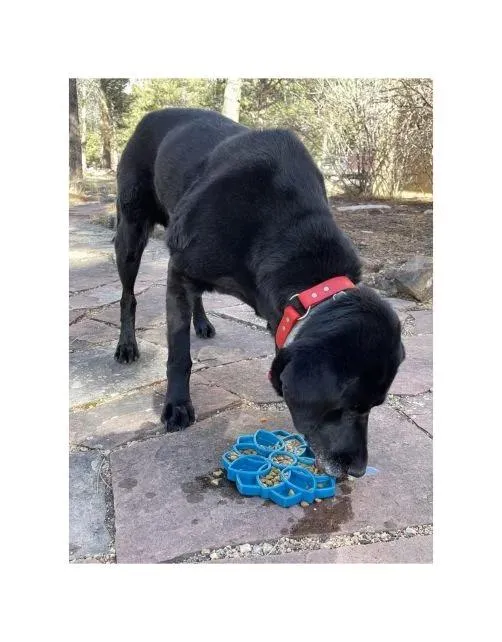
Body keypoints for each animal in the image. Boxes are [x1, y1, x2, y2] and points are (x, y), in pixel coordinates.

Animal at [113, 107, 404, 476]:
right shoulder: (179, 270)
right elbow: (179, 355)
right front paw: (177, 406)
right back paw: (127, 346)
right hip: (130, 233)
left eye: (375, 405)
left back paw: (202, 323)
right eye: (351, 405)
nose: (359, 470)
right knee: (128, 296)